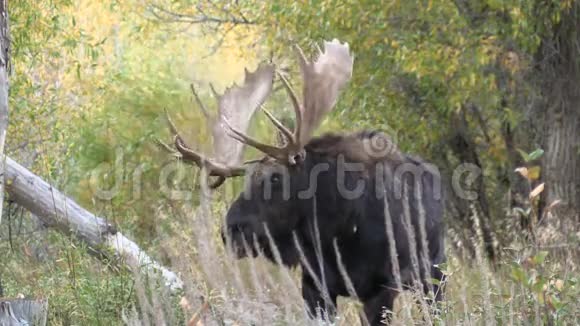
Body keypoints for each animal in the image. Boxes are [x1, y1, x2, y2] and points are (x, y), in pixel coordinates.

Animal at [161, 39, 446, 324]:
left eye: (275, 177)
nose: (230, 230)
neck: (337, 229)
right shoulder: (314, 287)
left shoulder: (381, 289)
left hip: (434, 274)